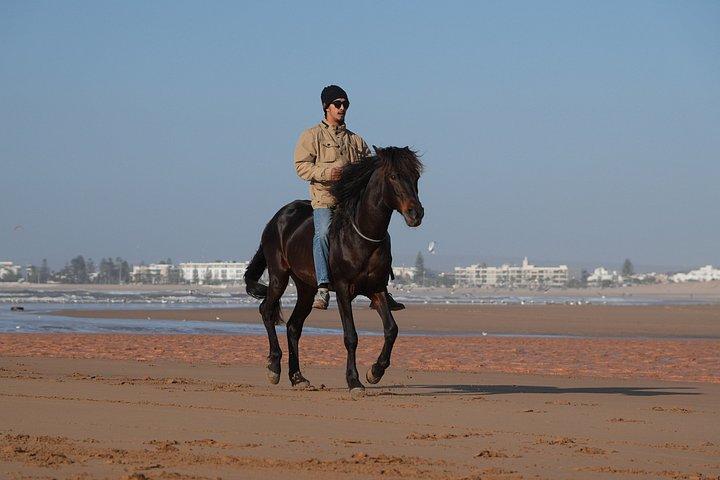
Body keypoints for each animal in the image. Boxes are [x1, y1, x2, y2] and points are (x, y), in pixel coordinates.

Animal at [244, 146, 424, 396]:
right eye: (394, 176)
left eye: (416, 177)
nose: (416, 213)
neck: (362, 236)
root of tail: (275, 219)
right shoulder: (342, 290)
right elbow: (351, 336)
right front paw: (354, 381)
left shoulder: (376, 289)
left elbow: (391, 330)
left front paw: (375, 372)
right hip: (279, 276)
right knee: (267, 311)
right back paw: (274, 367)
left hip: (306, 288)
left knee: (293, 326)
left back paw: (297, 377)